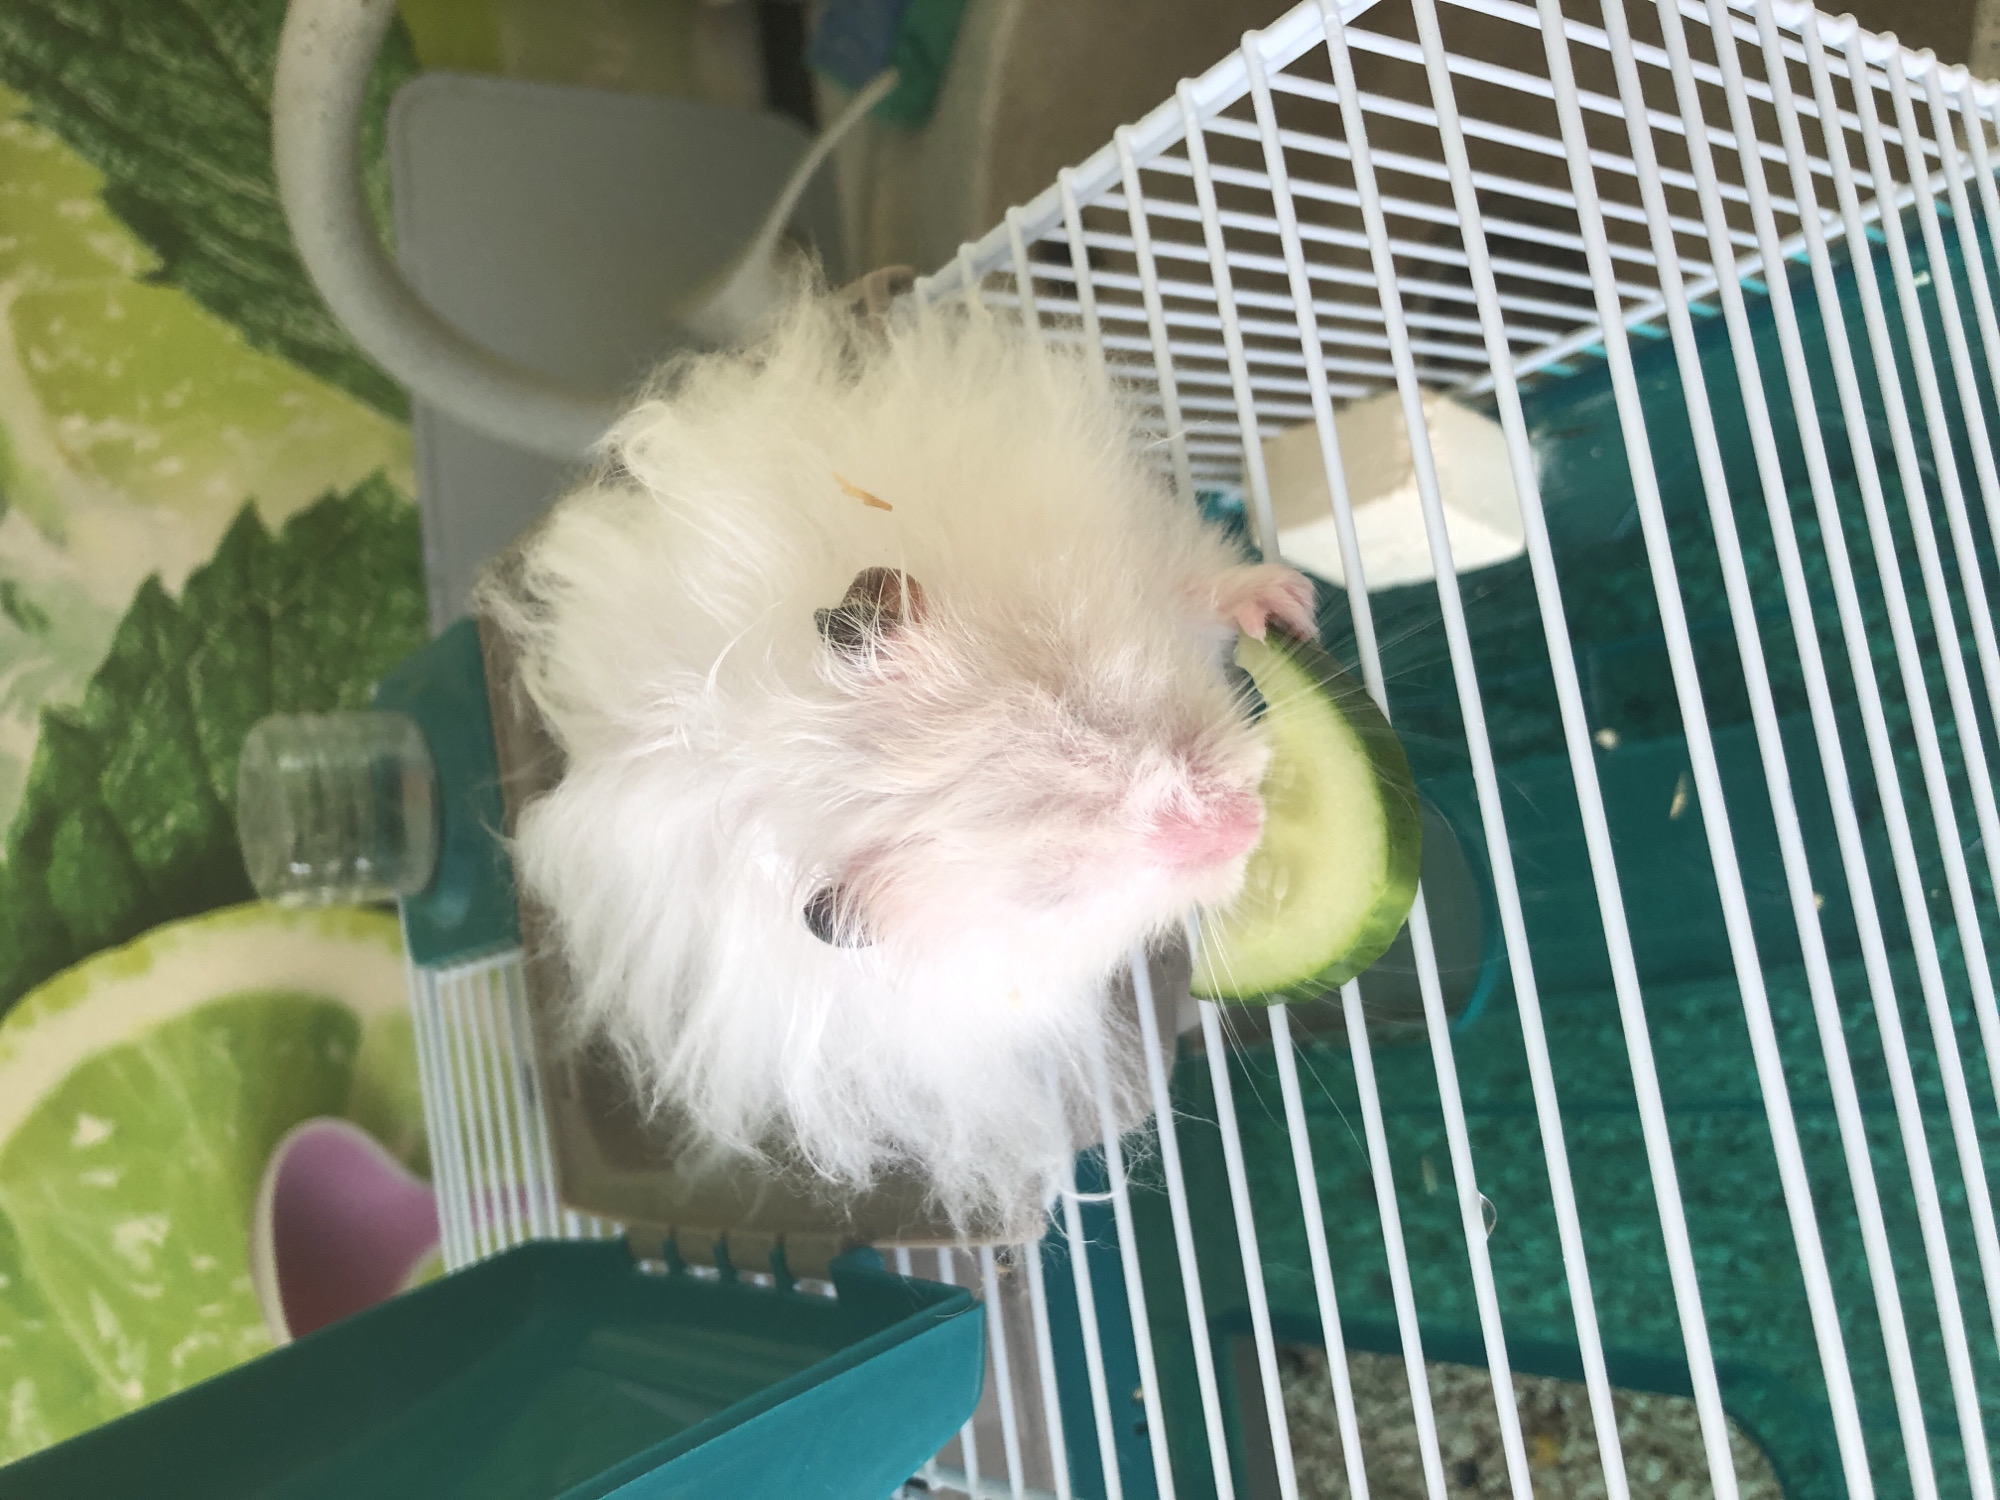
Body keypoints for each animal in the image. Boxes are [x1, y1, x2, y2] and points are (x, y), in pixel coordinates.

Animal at [477, 279, 1315, 1229]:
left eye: (1085, 708)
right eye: (1053, 897)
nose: (1245, 822)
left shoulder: (1110, 533)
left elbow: (1198, 581)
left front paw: (1290, 604)